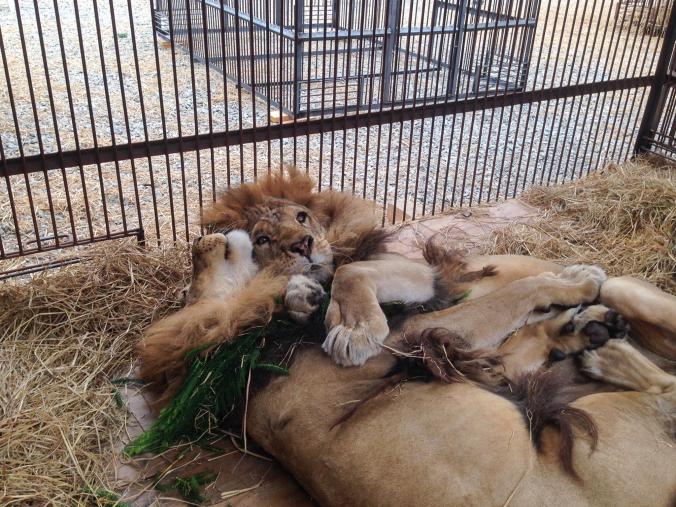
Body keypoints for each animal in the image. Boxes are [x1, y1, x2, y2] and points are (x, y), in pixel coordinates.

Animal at [138, 168, 676, 505]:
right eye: (264, 238)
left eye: (301, 216)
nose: (201, 241)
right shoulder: (417, 336)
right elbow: (517, 296)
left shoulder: (424, 286)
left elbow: (351, 269)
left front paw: (323, 302)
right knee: (662, 387)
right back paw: (600, 341)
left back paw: (588, 328)